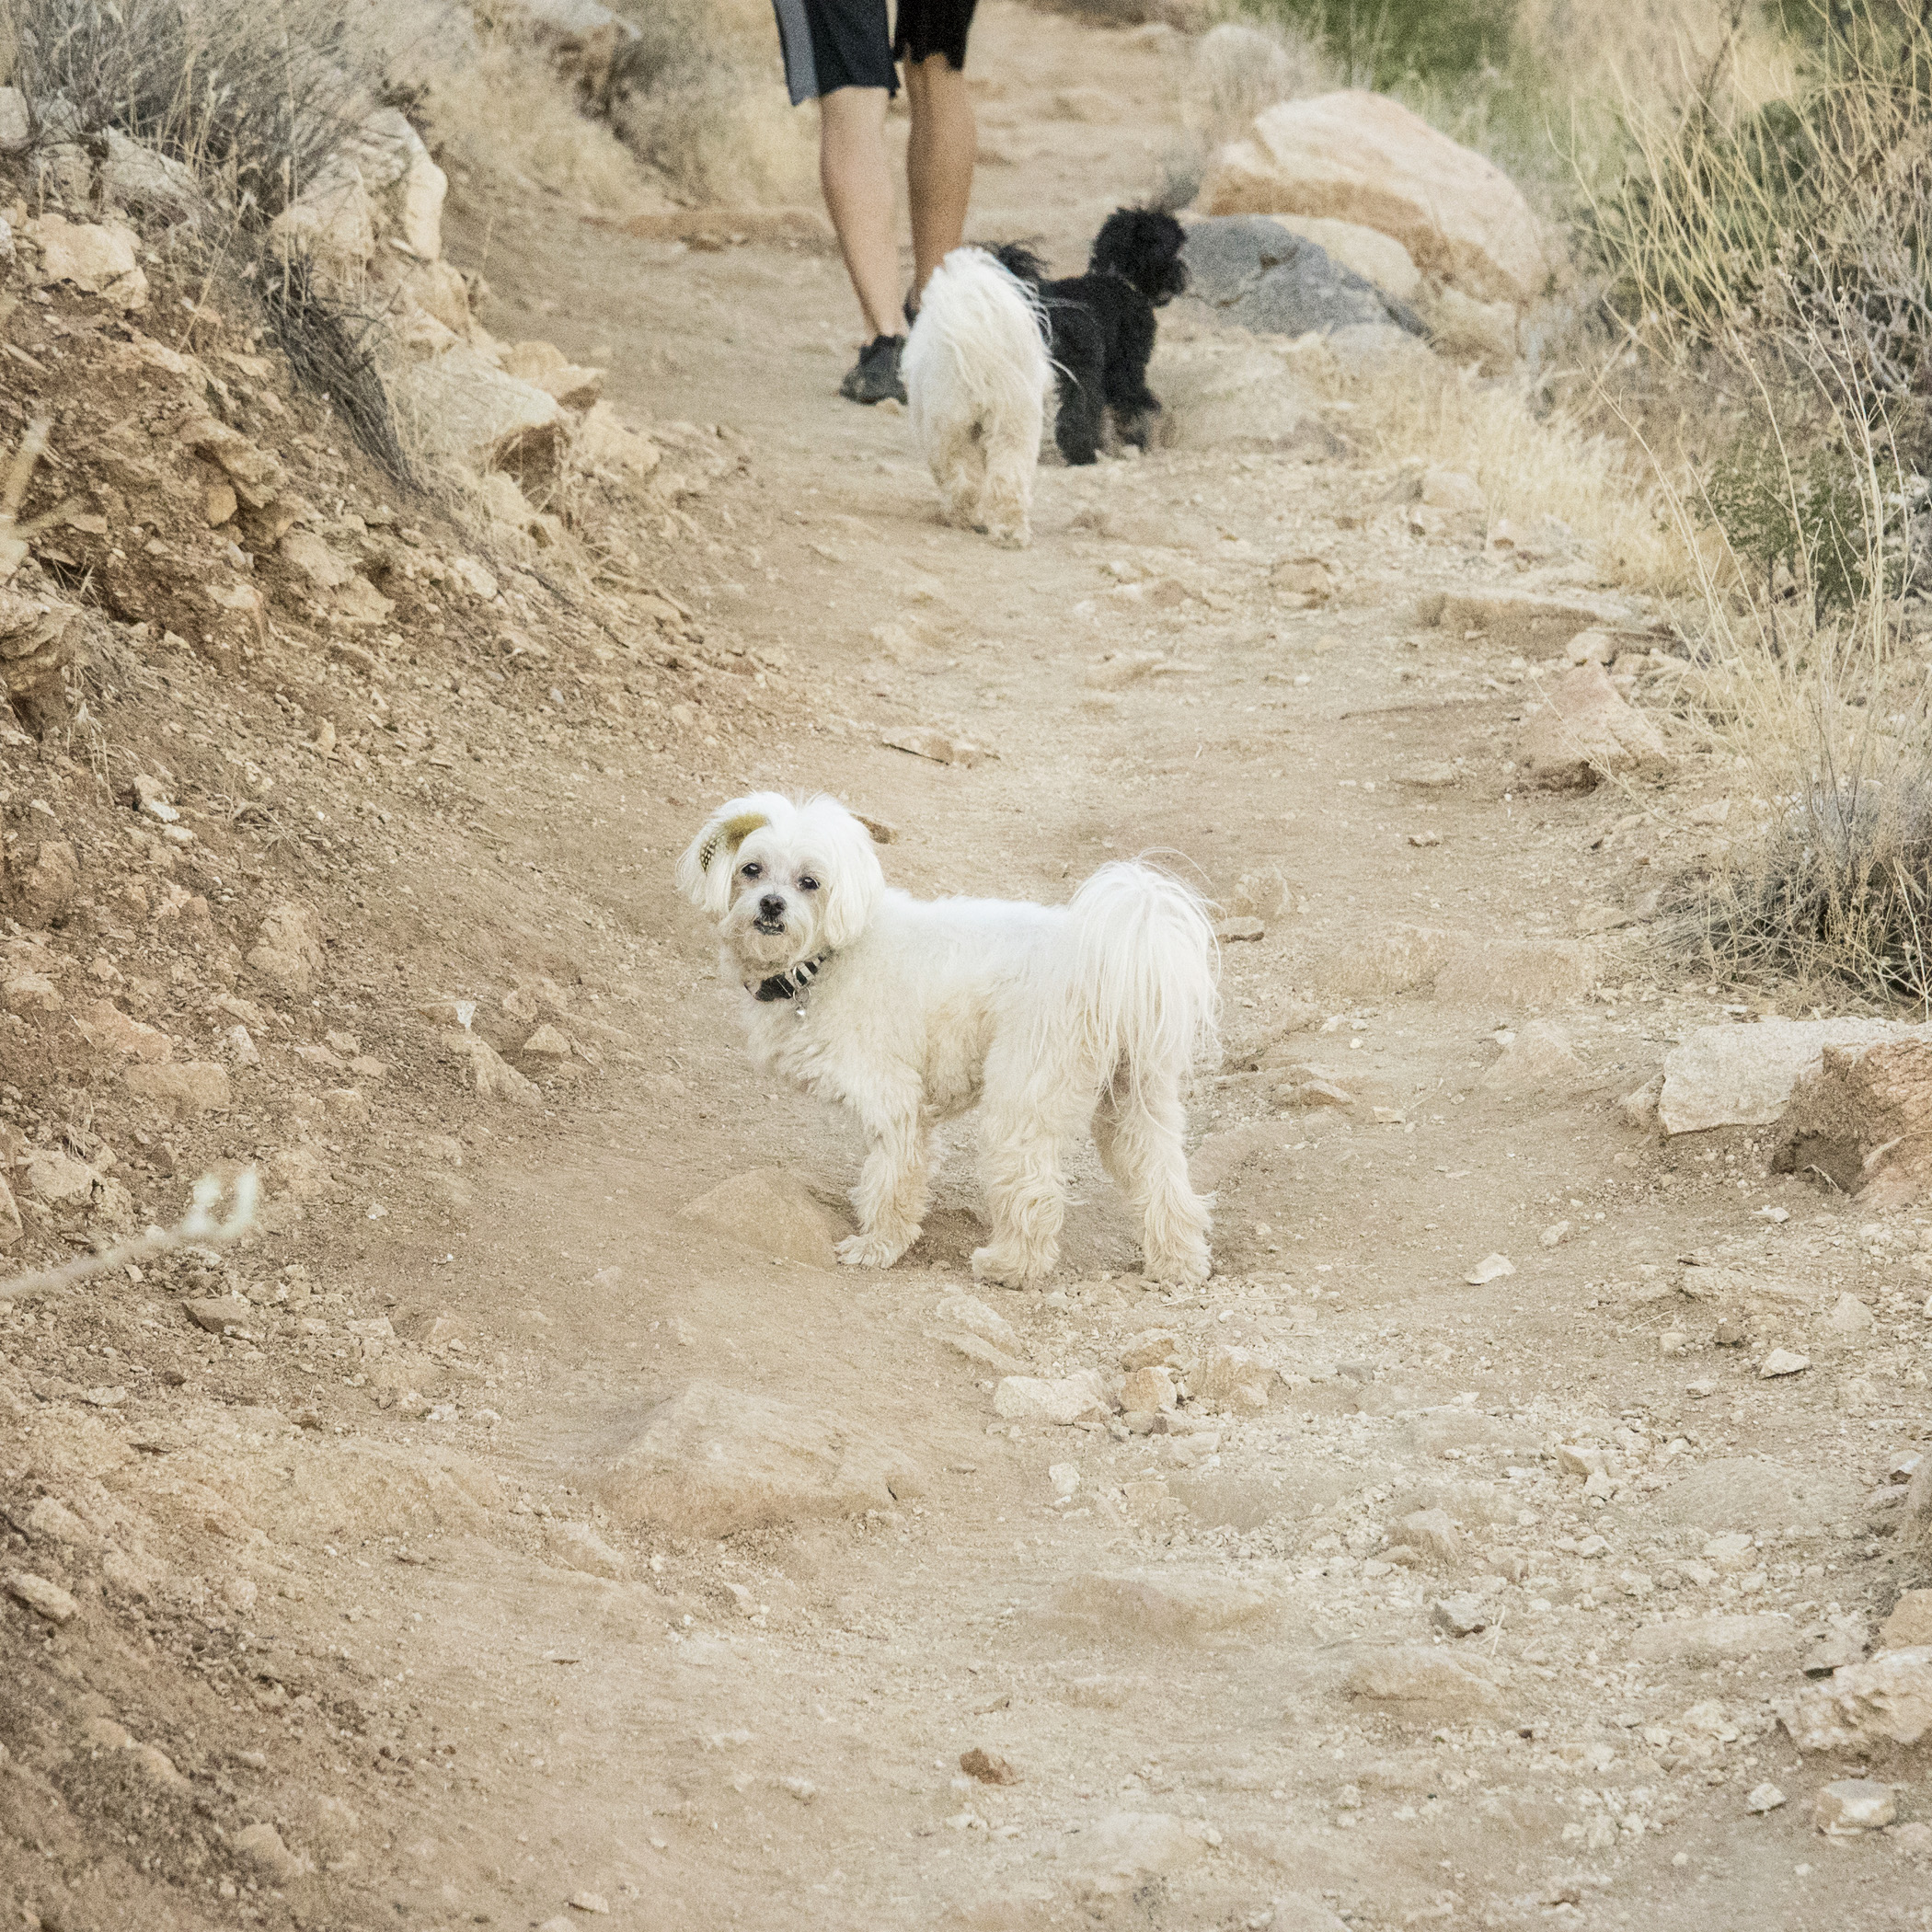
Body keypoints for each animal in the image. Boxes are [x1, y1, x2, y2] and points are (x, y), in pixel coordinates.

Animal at [680, 791, 1213, 1290]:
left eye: (809, 882)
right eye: (751, 869)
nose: (772, 903)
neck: (825, 960)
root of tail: (1104, 955)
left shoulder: (895, 1101)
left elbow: (891, 1183)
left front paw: (876, 1246)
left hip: (1023, 1096)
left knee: (1033, 1188)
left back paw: (1010, 1266)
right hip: (1136, 1101)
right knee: (1163, 1179)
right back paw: (1178, 1265)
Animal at [900, 248, 1051, 548]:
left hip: (949, 430)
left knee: (962, 481)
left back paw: (963, 518)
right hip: (1014, 430)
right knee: (1008, 481)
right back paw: (1011, 533)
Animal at [1005, 208, 1182, 467]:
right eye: (1170, 252)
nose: (1180, 277)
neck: (1118, 280)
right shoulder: (1125, 368)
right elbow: (1133, 403)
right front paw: (1136, 440)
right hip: (1082, 369)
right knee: (1077, 414)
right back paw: (1083, 455)